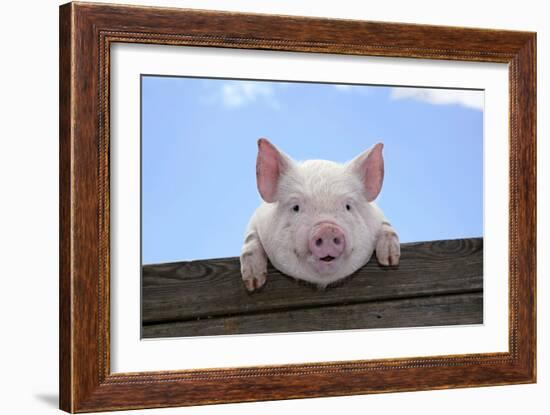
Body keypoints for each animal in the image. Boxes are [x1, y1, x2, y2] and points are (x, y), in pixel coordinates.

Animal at [240, 138, 402, 290]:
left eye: (348, 206)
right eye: (296, 207)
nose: (328, 229)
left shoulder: (379, 215)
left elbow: (386, 226)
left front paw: (390, 260)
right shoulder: (256, 219)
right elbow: (250, 239)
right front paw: (254, 283)